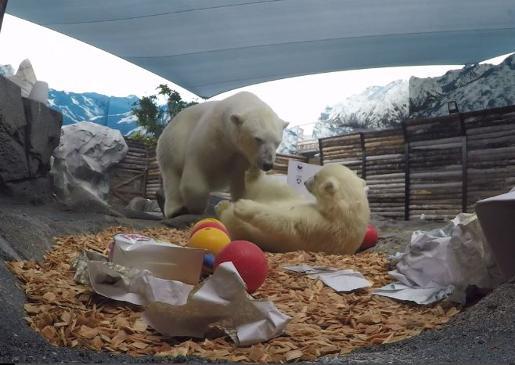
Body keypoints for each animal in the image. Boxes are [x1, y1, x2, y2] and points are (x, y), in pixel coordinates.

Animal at [155, 91, 288, 218]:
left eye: (277, 142)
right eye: (258, 139)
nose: (267, 164)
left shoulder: (244, 157)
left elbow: (243, 182)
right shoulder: (212, 136)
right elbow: (198, 168)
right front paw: (196, 208)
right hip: (172, 143)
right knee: (172, 176)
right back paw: (176, 209)